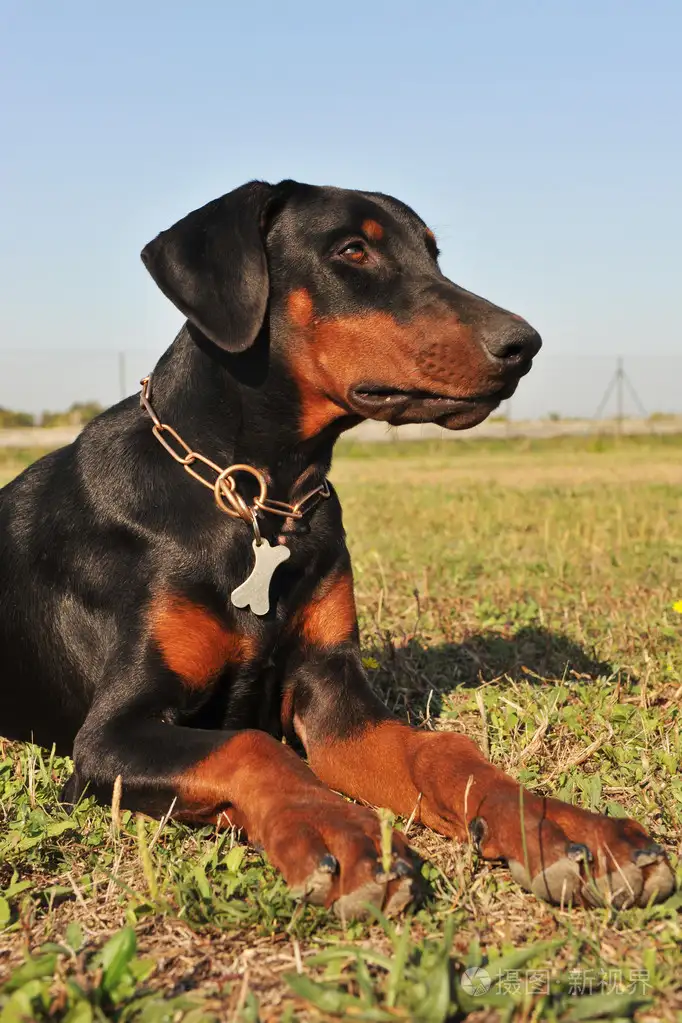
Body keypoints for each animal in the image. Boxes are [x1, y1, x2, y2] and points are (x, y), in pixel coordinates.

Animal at [0, 180, 670, 916]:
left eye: (433, 253)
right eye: (352, 250)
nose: (524, 344)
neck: (260, 498)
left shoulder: (334, 695)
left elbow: (443, 751)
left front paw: (565, 828)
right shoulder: (109, 736)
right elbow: (252, 746)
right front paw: (338, 830)